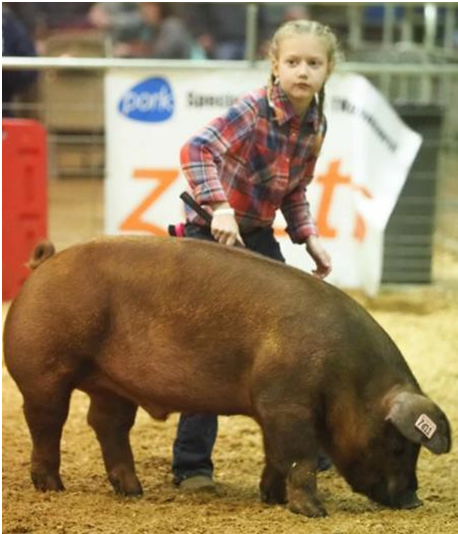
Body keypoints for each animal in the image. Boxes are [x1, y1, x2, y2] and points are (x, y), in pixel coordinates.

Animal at [3, 239, 452, 520]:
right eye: (398, 445)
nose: (413, 501)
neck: (349, 377)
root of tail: (45, 262)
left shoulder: (272, 410)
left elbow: (276, 456)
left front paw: (271, 500)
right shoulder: (288, 404)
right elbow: (300, 458)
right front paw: (314, 512)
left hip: (111, 384)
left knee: (107, 424)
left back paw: (133, 490)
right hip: (43, 369)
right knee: (47, 422)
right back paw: (52, 487)